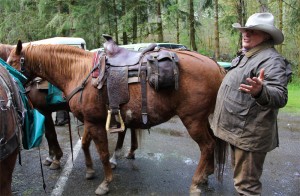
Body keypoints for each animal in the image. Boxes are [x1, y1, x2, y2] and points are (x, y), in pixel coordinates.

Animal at [7, 39, 226, 194]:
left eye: (12, 62)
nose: (10, 86)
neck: (79, 72)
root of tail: (215, 65)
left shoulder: (94, 122)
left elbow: (103, 153)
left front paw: (105, 183)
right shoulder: (89, 121)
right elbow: (85, 144)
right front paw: (89, 171)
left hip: (192, 119)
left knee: (207, 145)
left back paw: (195, 184)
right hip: (202, 119)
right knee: (213, 143)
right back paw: (206, 175)